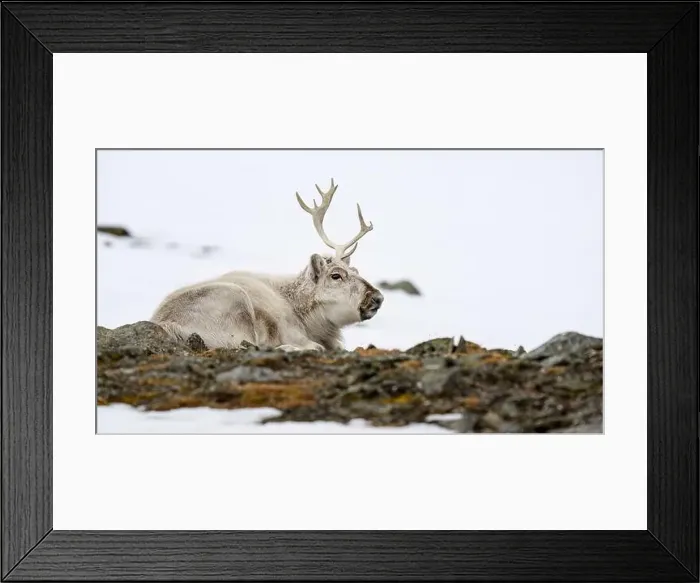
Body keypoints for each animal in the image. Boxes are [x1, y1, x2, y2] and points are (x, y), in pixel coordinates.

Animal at [150, 179, 384, 352]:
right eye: (336, 275)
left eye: (356, 270)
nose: (378, 297)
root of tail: (168, 325)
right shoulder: (292, 331)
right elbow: (316, 346)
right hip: (234, 304)